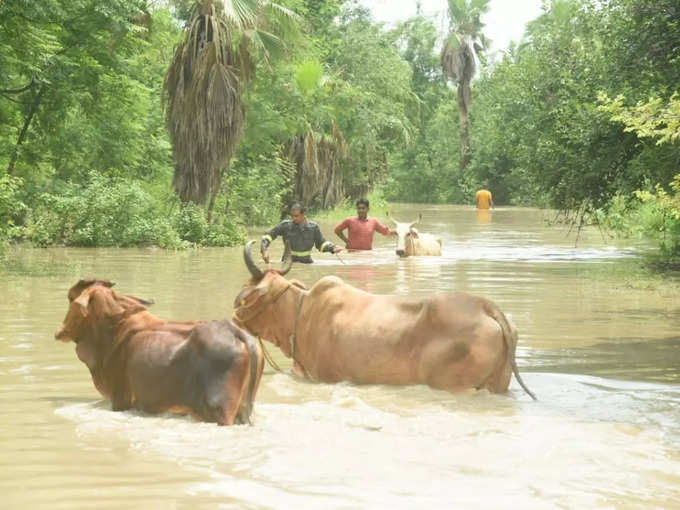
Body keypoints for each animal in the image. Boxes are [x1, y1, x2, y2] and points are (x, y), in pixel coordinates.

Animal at [55, 276, 264, 424]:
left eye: (70, 298)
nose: (59, 331)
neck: (114, 329)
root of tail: (235, 330)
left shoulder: (120, 399)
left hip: (220, 411)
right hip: (244, 409)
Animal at [234, 241, 536, 400]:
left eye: (247, 292)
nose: (234, 317)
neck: (301, 310)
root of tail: (486, 307)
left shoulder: (324, 378)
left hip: (459, 387)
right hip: (499, 385)